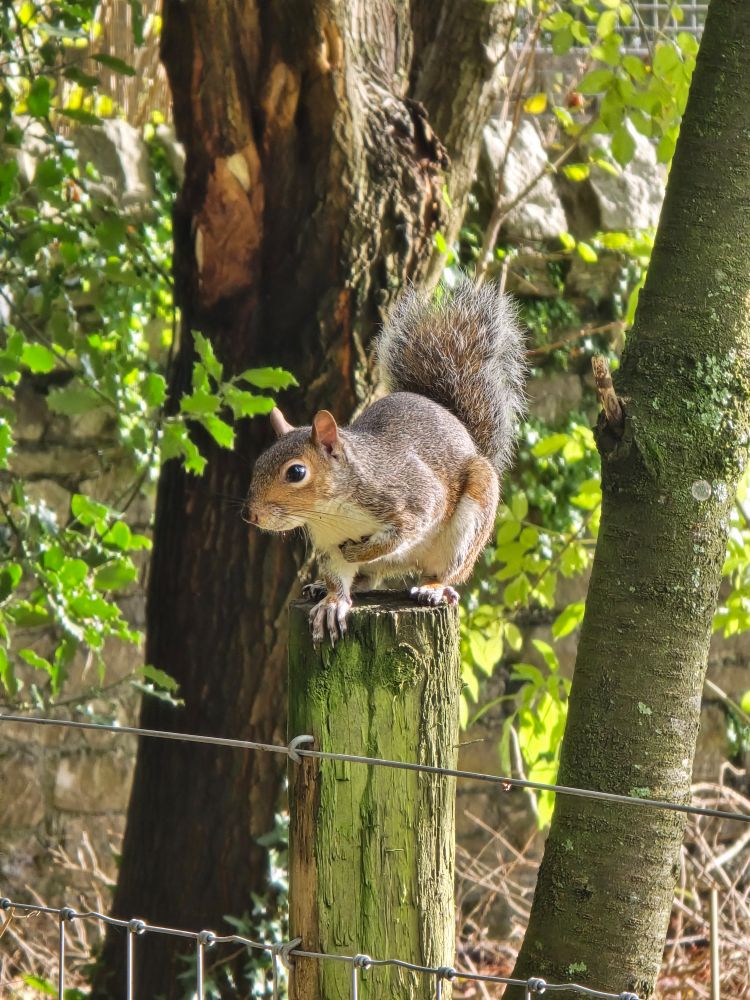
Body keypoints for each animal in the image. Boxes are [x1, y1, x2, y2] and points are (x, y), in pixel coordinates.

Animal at [245, 278, 526, 644]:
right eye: (258, 463)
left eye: (296, 472)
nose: (250, 515)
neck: (332, 511)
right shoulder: (328, 543)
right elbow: (337, 574)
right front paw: (333, 602)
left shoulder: (413, 497)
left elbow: (403, 531)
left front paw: (360, 551)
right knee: (368, 579)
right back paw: (325, 587)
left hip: (468, 527)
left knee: (445, 571)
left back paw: (433, 588)